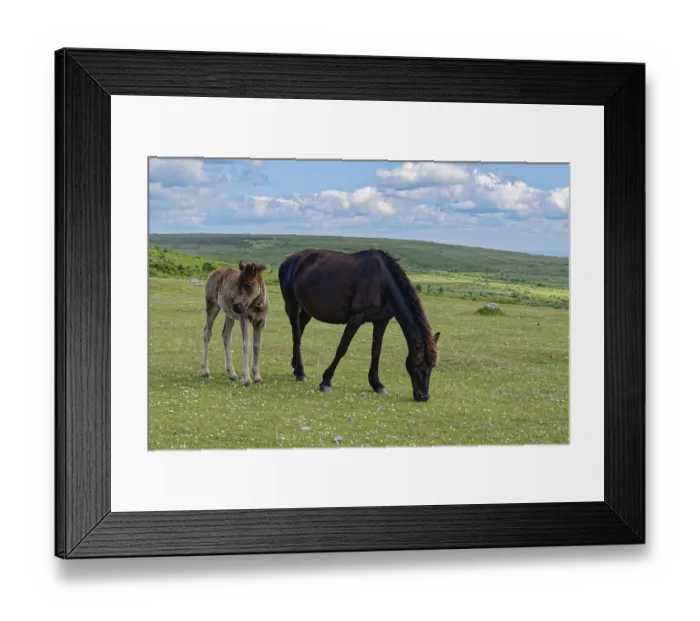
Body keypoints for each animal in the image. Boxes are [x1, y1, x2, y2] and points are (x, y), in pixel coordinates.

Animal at [278, 248, 440, 402]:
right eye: (418, 363)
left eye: (432, 366)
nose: (423, 396)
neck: (382, 283)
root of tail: (289, 259)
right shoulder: (355, 318)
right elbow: (342, 349)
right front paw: (326, 381)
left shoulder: (381, 321)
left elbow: (376, 352)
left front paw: (377, 384)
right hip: (292, 305)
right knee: (296, 335)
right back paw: (300, 373)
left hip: (307, 310)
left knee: (299, 331)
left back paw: (295, 367)